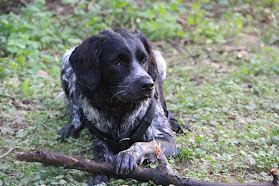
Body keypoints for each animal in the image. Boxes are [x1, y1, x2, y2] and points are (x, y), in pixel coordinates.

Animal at [58, 29, 185, 185]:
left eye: (144, 60)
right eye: (116, 62)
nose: (148, 85)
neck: (118, 108)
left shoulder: (168, 141)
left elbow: (142, 144)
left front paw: (128, 155)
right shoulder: (100, 140)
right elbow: (101, 156)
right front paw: (98, 175)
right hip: (66, 60)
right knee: (75, 106)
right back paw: (73, 125)